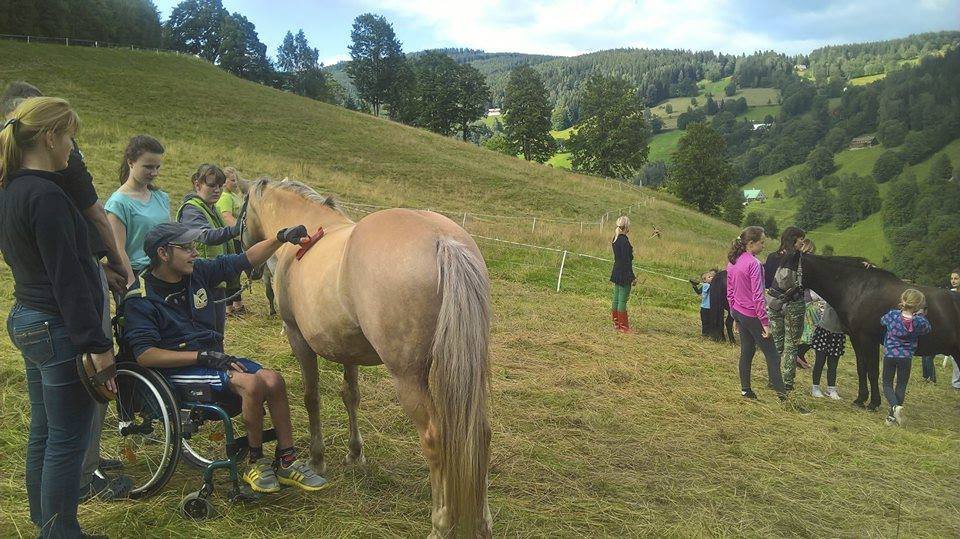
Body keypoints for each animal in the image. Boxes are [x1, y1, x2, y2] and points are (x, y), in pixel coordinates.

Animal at [240, 178, 496, 536]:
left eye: (241, 213)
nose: (249, 268)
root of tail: (442, 240)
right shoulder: (348, 349)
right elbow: (350, 396)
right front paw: (354, 454)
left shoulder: (297, 339)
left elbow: (311, 397)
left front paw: (316, 459)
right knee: (480, 435)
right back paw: (482, 523)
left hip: (409, 379)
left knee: (434, 439)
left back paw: (441, 525)